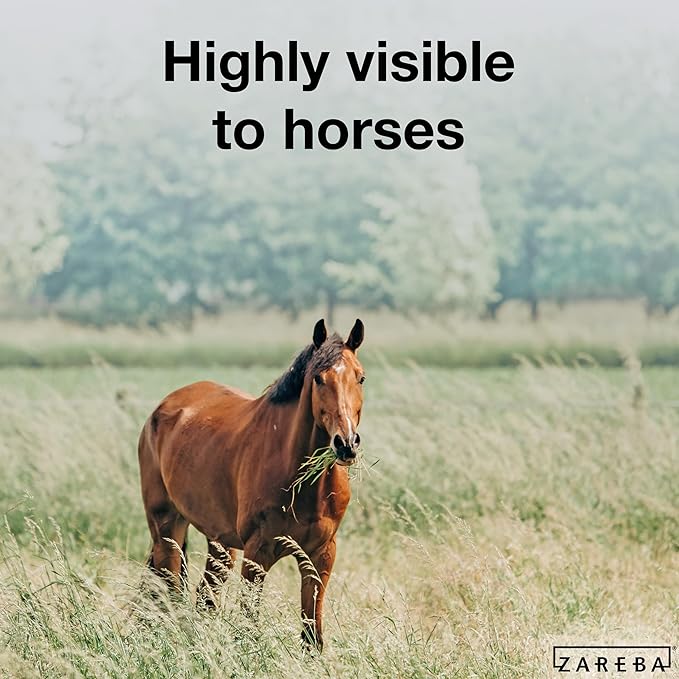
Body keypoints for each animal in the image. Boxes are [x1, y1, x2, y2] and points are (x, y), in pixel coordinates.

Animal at [137, 318, 365, 650]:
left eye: (361, 378)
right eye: (319, 379)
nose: (346, 443)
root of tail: (162, 408)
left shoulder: (321, 555)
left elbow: (312, 635)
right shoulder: (258, 553)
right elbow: (248, 625)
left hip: (220, 543)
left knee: (203, 597)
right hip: (167, 527)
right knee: (171, 590)